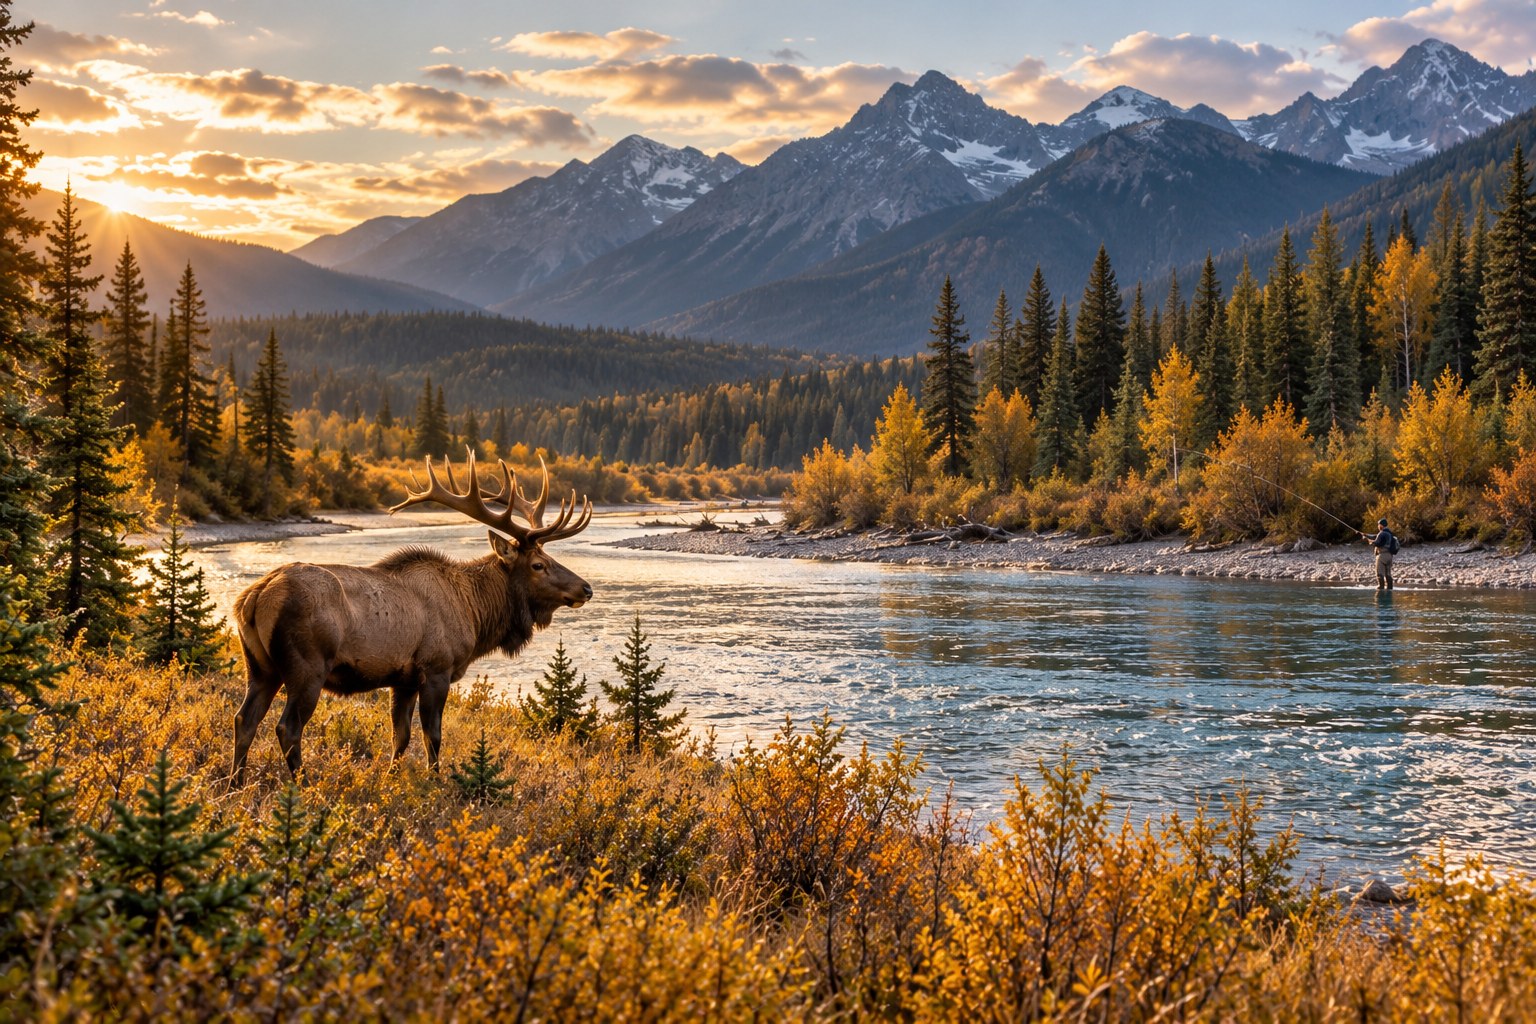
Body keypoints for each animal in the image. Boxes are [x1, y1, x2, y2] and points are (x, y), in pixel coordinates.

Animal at [231, 452, 592, 784]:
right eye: (538, 565)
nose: (586, 588)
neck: (475, 614)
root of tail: (253, 598)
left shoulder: (402, 680)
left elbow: (400, 736)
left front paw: (391, 779)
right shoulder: (436, 668)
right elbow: (432, 735)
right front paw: (435, 782)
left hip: (260, 666)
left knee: (244, 719)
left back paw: (236, 783)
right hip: (308, 666)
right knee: (287, 727)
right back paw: (304, 785)